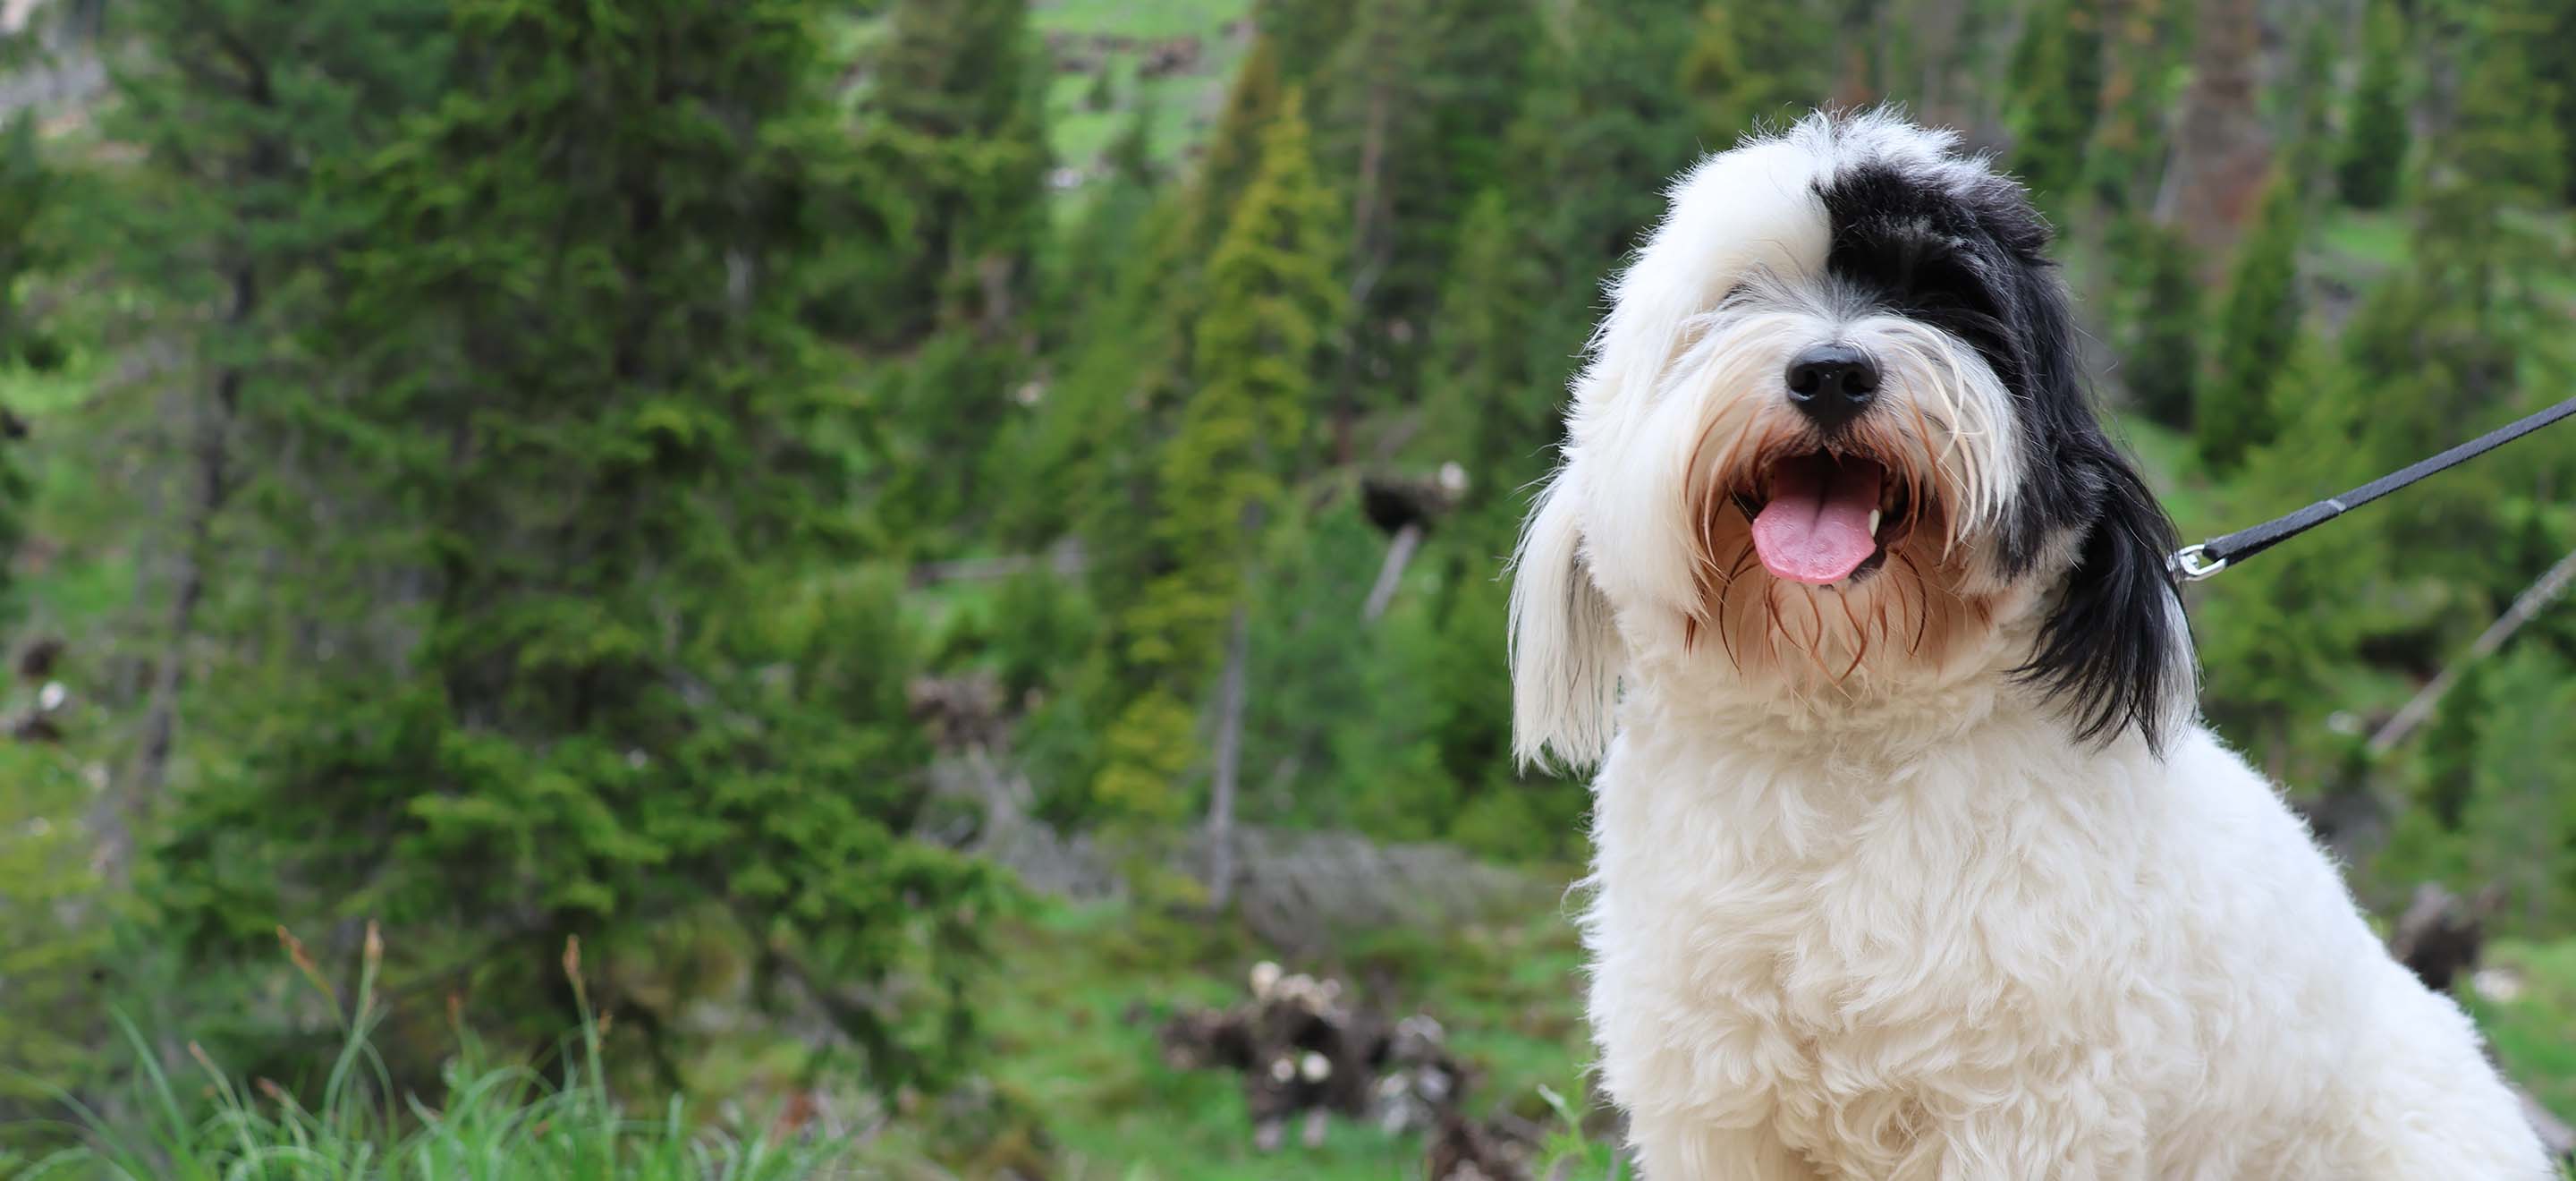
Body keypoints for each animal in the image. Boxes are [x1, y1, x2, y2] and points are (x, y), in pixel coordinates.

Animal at [1504, 108, 2545, 1170]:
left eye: (1949, 302)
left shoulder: (2026, 1109)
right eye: (1740, 295)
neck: (1840, 729)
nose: (1833, 372)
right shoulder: (1717, 1107)